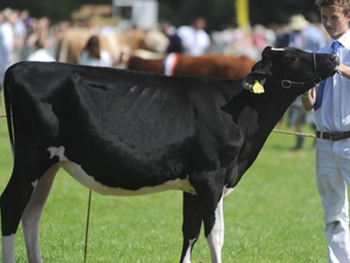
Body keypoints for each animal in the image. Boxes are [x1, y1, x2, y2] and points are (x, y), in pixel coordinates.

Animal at [0, 47, 338, 263]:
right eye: (291, 56)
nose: (333, 56)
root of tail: (20, 66)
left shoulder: (194, 184)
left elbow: (189, 233)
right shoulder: (211, 177)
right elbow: (215, 235)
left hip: (49, 166)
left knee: (32, 214)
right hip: (31, 159)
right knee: (11, 207)